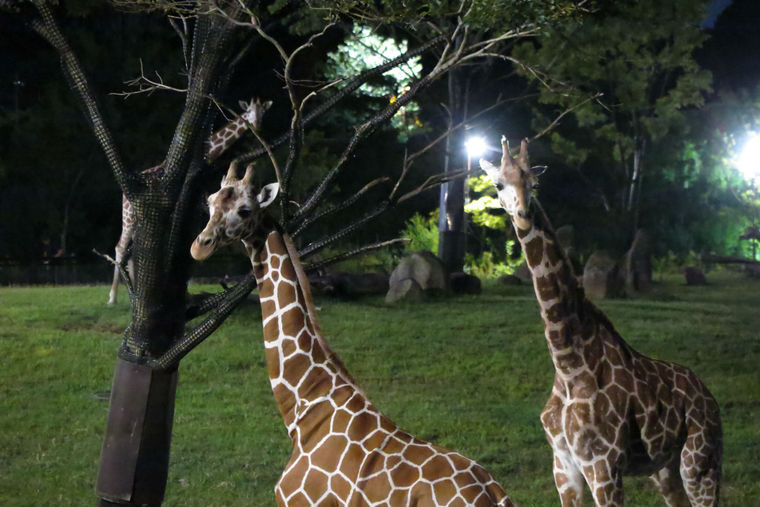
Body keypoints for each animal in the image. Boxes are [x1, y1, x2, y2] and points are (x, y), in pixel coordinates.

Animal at [106, 98, 274, 306]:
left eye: (263, 112)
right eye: (249, 112)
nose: (257, 125)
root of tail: (124, 194)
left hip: (140, 219)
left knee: (132, 249)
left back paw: (136, 295)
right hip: (129, 217)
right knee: (120, 247)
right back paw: (112, 298)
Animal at [189, 163, 516, 507]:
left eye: (244, 209)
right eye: (210, 202)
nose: (200, 246)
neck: (305, 404)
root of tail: (495, 494)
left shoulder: (298, 502)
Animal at [480, 136, 724, 507]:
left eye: (534, 184)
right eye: (498, 184)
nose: (522, 216)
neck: (568, 363)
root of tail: (709, 396)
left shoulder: (605, 467)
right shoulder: (563, 466)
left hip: (700, 463)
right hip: (665, 468)